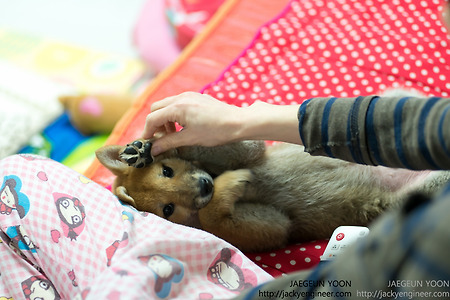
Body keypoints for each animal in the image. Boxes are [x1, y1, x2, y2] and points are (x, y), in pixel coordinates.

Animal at [96, 139, 448, 252]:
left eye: (167, 170)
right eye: (167, 209)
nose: (206, 187)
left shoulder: (248, 150)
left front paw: (144, 147)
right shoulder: (276, 227)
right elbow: (213, 215)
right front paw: (231, 185)